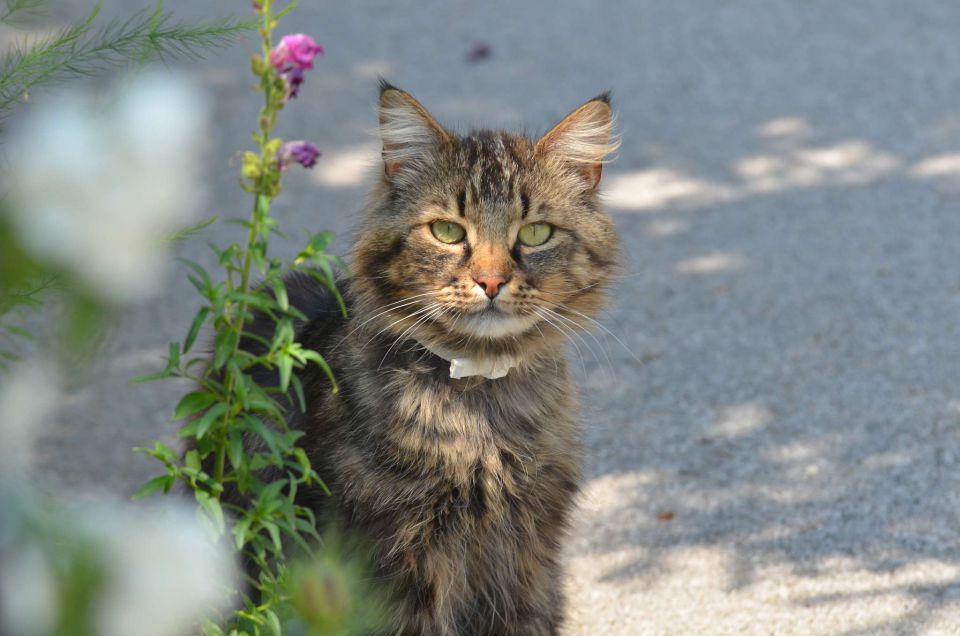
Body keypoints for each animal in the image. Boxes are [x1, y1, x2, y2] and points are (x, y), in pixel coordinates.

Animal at [239, 82, 620, 632]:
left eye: (535, 234)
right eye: (447, 231)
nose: (491, 281)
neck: (480, 409)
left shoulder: (530, 564)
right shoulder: (390, 565)